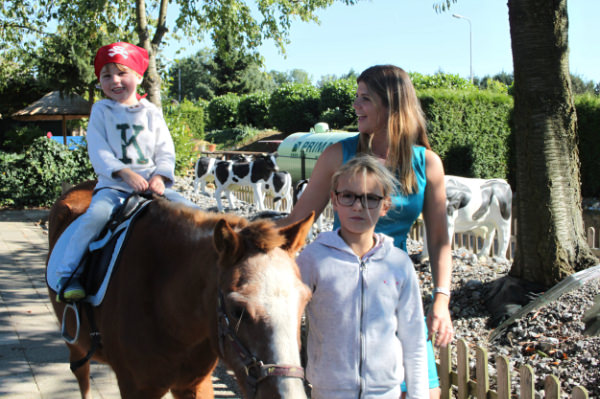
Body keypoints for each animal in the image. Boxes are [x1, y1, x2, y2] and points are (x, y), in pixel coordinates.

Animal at [47, 182, 314, 399]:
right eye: (238, 310)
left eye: (305, 300)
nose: (287, 394)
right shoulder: (137, 389)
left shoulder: (194, 384)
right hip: (75, 343)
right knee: (82, 374)